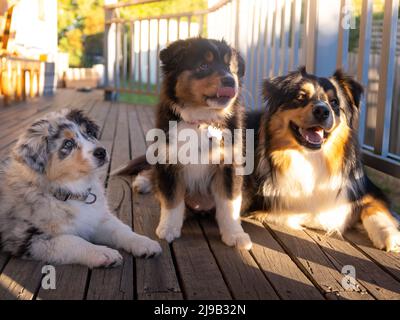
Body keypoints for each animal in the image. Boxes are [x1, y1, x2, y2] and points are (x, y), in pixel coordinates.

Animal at [0, 110, 162, 268]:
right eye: (68, 143)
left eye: (89, 132)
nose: (102, 152)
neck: (71, 191)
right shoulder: (29, 239)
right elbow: (72, 241)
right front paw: (104, 253)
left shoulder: (96, 218)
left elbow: (120, 229)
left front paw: (144, 242)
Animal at [115, 38, 253, 250]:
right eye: (203, 66)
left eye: (230, 67)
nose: (231, 81)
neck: (201, 121)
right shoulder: (168, 160)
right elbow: (172, 201)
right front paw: (168, 228)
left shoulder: (229, 165)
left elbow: (228, 203)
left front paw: (235, 234)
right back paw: (142, 183)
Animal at [250, 68, 400, 252]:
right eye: (300, 96)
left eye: (334, 102)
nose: (322, 111)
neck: (311, 157)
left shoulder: (367, 188)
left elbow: (373, 207)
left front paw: (388, 235)